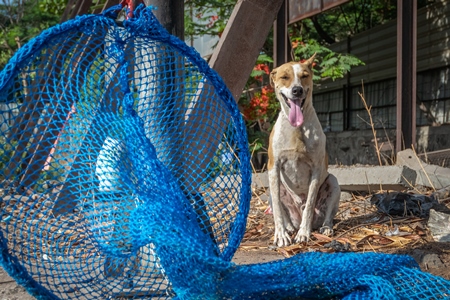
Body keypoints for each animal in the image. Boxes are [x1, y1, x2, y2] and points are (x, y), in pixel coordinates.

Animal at [268, 54, 342, 246]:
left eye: (304, 76)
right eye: (284, 77)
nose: (297, 90)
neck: (297, 129)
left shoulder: (316, 168)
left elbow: (309, 204)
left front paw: (303, 233)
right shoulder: (273, 167)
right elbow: (277, 208)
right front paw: (280, 235)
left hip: (333, 182)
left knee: (327, 216)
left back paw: (325, 228)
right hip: (271, 190)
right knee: (281, 208)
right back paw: (288, 228)